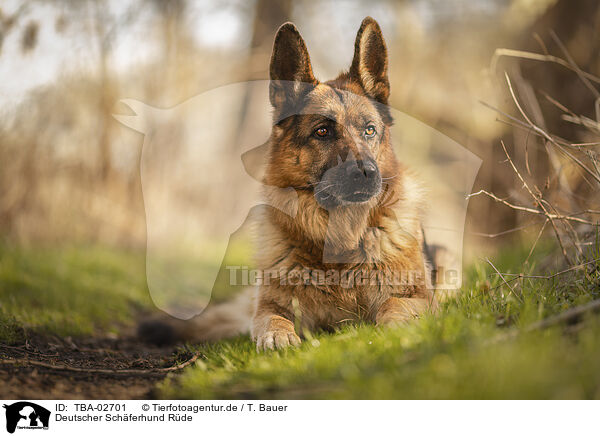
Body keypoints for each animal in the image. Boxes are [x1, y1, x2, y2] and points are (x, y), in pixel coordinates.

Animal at [138, 16, 434, 350]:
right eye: (322, 132)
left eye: (369, 130)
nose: (368, 173)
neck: (341, 246)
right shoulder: (269, 306)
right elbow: (272, 319)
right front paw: (277, 337)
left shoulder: (419, 298)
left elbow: (394, 306)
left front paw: (397, 331)